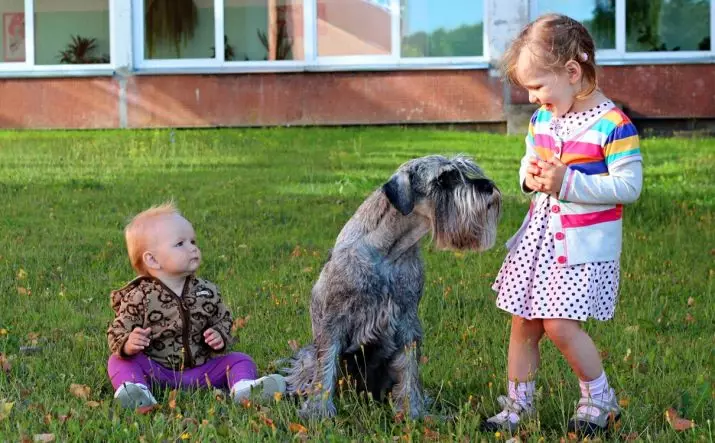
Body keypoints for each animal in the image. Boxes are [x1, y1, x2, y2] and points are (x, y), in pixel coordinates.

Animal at [282, 155, 500, 420]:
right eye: (443, 178)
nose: (488, 186)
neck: (390, 250)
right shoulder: (334, 321)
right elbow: (325, 368)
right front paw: (319, 413)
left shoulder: (407, 322)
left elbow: (409, 372)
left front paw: (414, 413)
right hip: (306, 357)